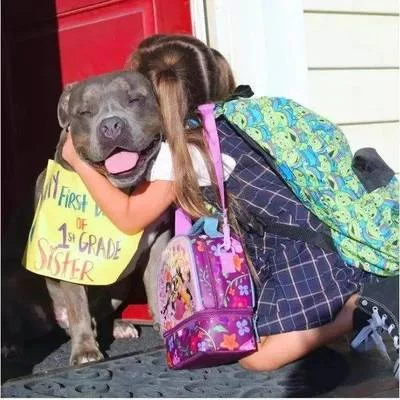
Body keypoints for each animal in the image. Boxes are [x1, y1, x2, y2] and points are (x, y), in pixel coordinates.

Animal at [35, 71, 170, 366]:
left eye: (135, 99)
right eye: (84, 112)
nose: (111, 126)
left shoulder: (159, 242)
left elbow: (155, 283)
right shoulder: (72, 257)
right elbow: (78, 309)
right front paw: (85, 350)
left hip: (119, 288)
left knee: (103, 312)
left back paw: (119, 326)